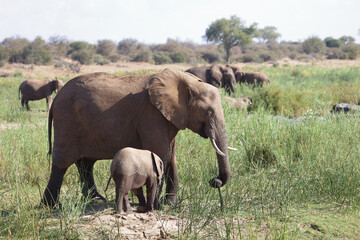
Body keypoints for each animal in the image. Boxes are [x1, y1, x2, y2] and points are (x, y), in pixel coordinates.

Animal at [42, 68, 232, 207]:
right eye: (209, 112)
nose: (214, 181)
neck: (186, 82)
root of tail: (57, 98)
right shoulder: (152, 116)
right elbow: (160, 154)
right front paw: (155, 206)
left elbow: (171, 157)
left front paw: (168, 205)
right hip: (67, 121)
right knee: (62, 163)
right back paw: (51, 206)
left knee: (85, 164)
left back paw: (96, 200)